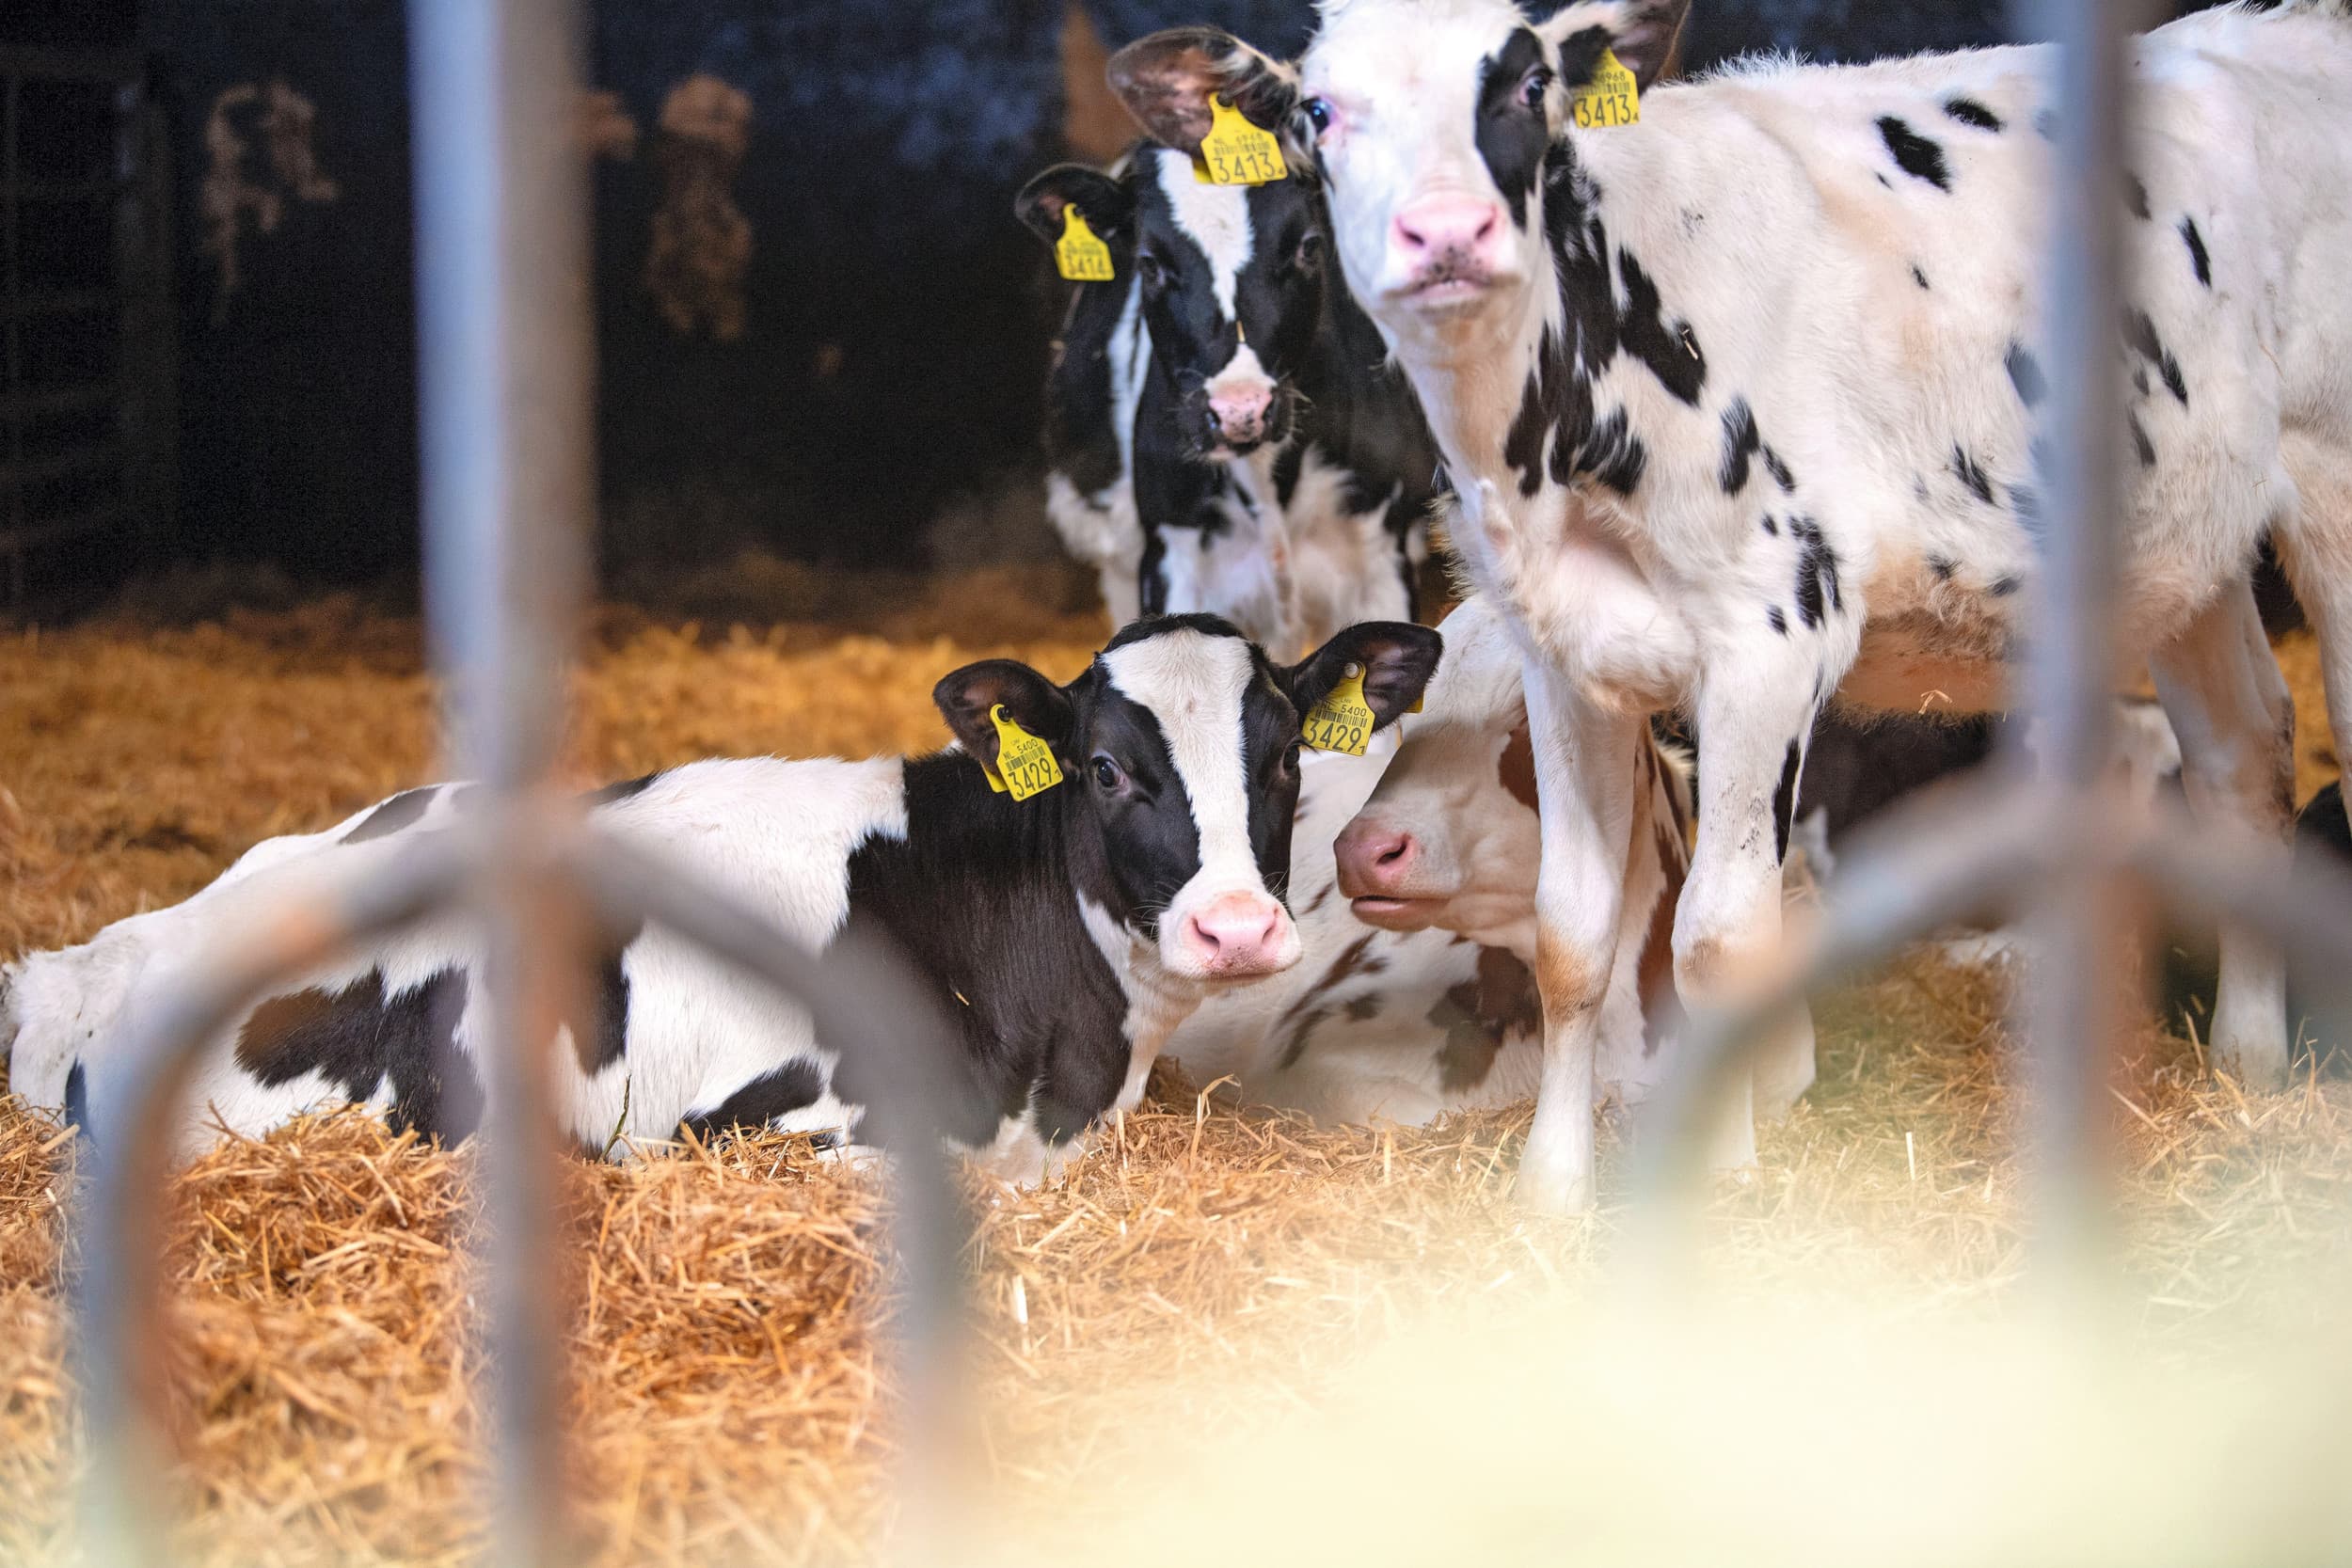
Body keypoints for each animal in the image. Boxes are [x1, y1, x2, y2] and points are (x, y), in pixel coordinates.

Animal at [1110, 0, 2352, 1208]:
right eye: (1320, 109)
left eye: (1526, 84)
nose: (1448, 231)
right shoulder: (1566, 653)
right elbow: (1571, 931)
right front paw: (1552, 1189)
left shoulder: (1772, 639)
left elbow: (1719, 941)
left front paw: (1724, 1178)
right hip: (2183, 553)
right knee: (2244, 754)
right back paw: (2247, 1057)